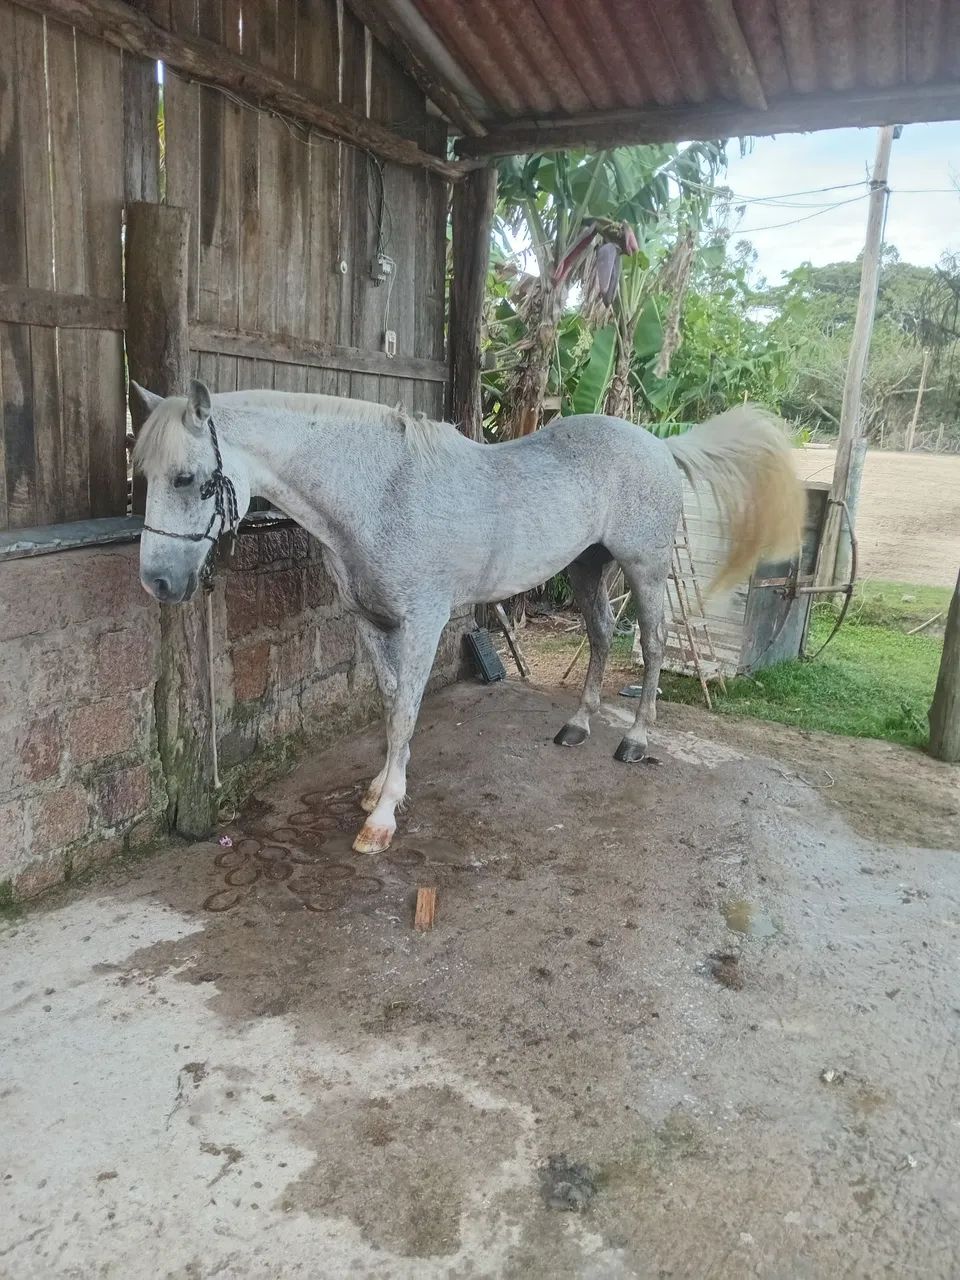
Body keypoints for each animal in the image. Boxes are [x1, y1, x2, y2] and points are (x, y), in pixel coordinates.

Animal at [132, 380, 804, 855]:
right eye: (144, 475)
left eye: (187, 479)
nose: (158, 582)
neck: (381, 494)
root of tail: (659, 444)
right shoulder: (371, 622)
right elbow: (389, 703)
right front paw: (379, 790)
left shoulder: (422, 623)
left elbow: (407, 712)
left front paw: (382, 820)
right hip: (588, 567)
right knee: (601, 636)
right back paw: (577, 727)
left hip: (645, 569)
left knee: (656, 644)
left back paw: (635, 740)